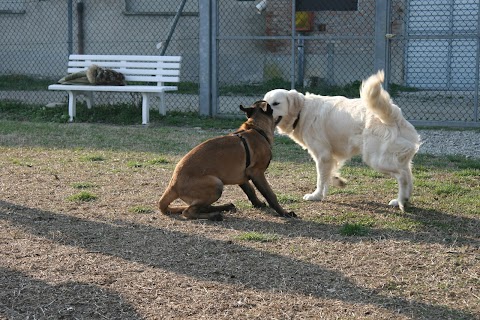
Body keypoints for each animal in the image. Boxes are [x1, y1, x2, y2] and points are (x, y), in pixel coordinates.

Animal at [158, 100, 296, 220]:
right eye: (273, 105)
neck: (256, 128)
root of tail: (173, 185)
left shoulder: (243, 177)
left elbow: (250, 191)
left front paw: (258, 204)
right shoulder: (257, 173)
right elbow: (270, 195)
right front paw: (284, 213)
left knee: (200, 207)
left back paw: (225, 207)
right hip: (216, 184)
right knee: (188, 212)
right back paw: (214, 215)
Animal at [262, 70, 420, 210]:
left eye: (276, 103)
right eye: (264, 103)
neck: (302, 111)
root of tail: (393, 116)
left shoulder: (323, 155)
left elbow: (321, 178)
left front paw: (316, 196)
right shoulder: (330, 156)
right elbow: (329, 174)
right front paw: (337, 181)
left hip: (376, 160)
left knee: (403, 176)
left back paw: (402, 200)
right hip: (396, 159)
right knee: (408, 176)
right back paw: (402, 200)